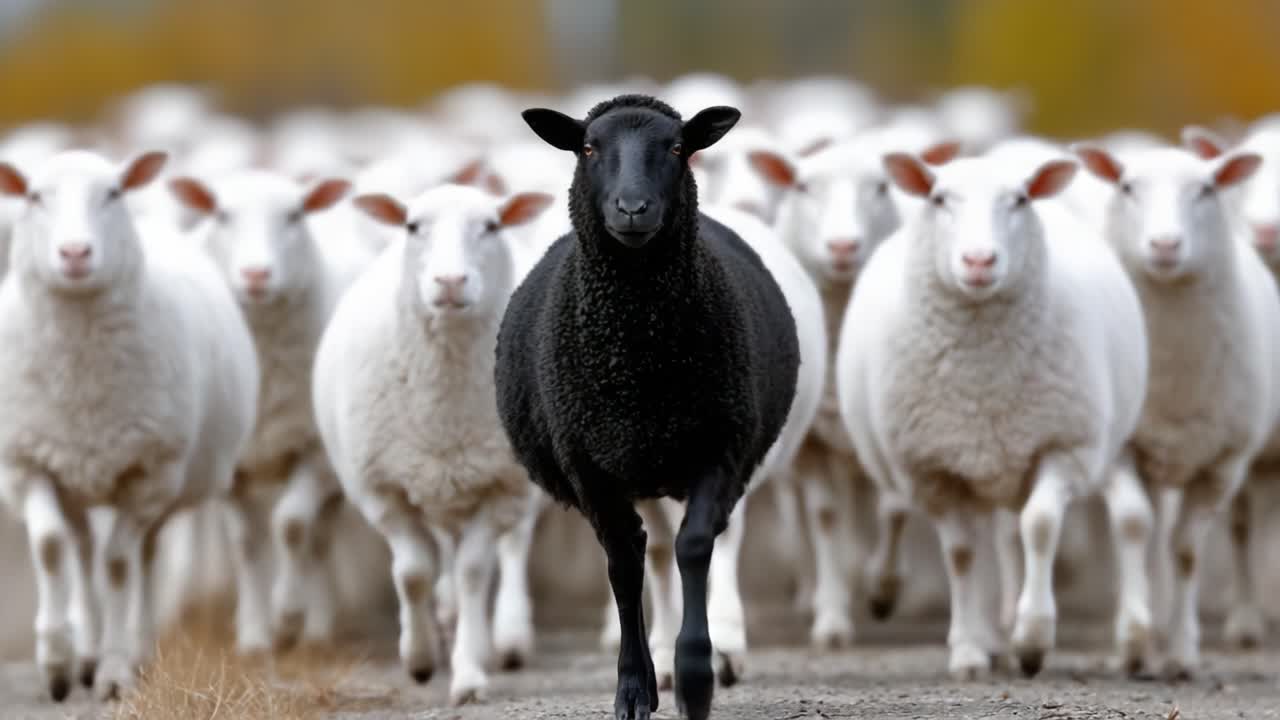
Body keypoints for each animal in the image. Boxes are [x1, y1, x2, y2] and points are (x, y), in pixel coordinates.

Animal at [0, 149, 259, 700]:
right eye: (34, 196)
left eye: (113, 193)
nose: (75, 253)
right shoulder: (27, 462)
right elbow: (50, 546)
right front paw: (57, 662)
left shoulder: (147, 471)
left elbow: (119, 564)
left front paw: (115, 671)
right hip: (75, 474)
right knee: (80, 548)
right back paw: (86, 649)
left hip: (166, 486)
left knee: (143, 556)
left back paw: (135, 649)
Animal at [313, 182, 553, 705]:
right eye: (412, 226)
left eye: (491, 226)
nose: (450, 281)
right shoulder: (382, 490)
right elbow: (413, 573)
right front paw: (419, 659)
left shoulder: (501, 487)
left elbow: (473, 572)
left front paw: (469, 674)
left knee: (507, 549)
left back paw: (500, 638)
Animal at [496, 94, 801, 720]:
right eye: (589, 148)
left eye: (679, 148)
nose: (633, 208)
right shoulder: (588, 464)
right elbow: (622, 563)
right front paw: (634, 689)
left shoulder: (718, 445)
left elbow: (694, 547)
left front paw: (695, 679)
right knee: (641, 554)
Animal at [835, 151, 1152, 680]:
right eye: (940, 198)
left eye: (1020, 200)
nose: (979, 261)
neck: (983, 380)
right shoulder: (935, 469)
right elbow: (962, 556)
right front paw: (966, 651)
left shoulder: (1063, 446)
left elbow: (1039, 526)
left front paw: (1033, 637)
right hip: (968, 463)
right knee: (978, 544)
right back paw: (983, 636)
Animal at [1067, 143, 1280, 677]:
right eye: (1126, 186)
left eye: (1206, 189)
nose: (1165, 245)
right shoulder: (1120, 448)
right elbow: (1133, 525)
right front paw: (1134, 642)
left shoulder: (1223, 464)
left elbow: (1185, 550)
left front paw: (1183, 654)